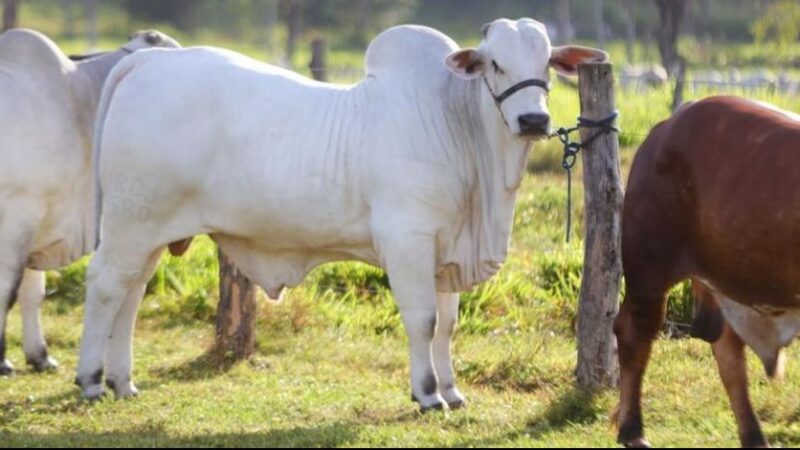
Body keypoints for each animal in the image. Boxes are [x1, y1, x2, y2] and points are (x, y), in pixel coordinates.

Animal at [0, 28, 180, 376]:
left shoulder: (38, 223)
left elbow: (32, 292)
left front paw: (39, 355)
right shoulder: (17, 219)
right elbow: (7, 291)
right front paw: (2, 361)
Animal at [79, 19, 608, 410]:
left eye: (546, 63)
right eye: (495, 64)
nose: (534, 120)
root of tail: (148, 62)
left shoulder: (447, 252)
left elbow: (448, 324)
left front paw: (453, 390)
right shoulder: (409, 241)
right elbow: (423, 320)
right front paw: (428, 394)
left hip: (148, 232)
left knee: (130, 294)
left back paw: (122, 381)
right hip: (131, 222)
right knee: (105, 286)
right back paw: (91, 380)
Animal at [616, 95, 796, 446]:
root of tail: (665, 127)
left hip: (727, 279)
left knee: (729, 354)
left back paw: (754, 437)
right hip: (649, 269)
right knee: (633, 335)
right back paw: (632, 430)